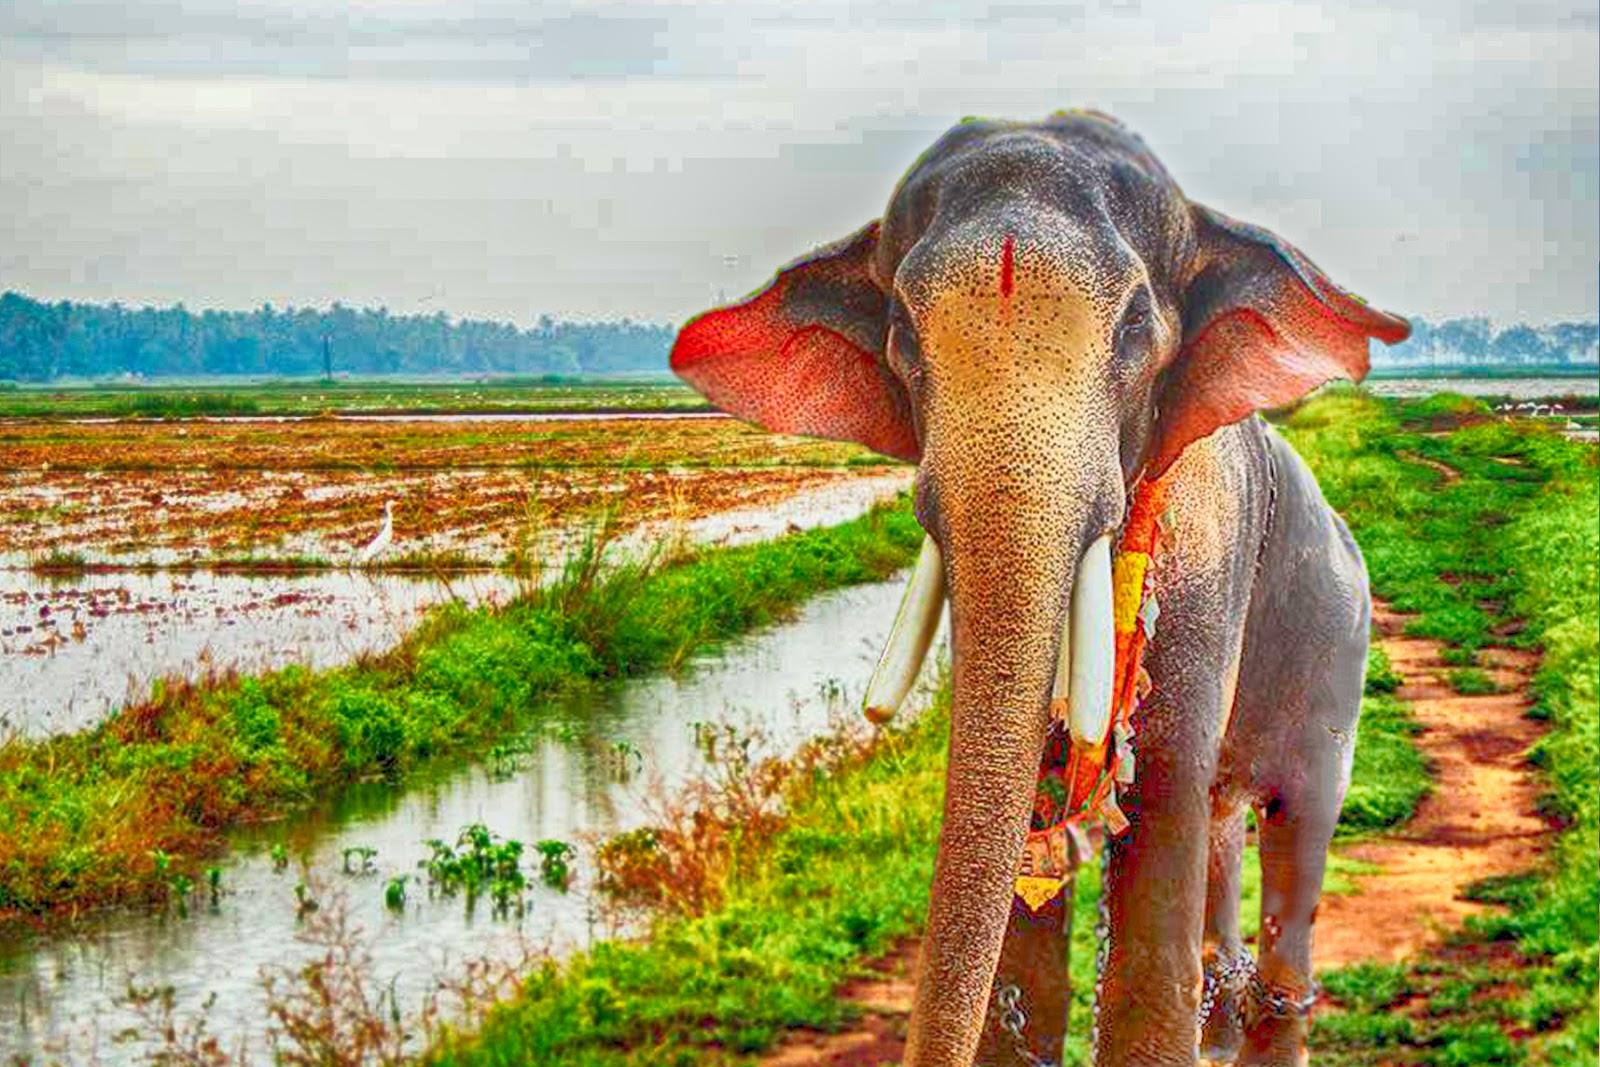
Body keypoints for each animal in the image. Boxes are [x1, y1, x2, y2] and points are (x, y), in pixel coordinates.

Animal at [668, 112, 1410, 1066]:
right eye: (902, 330)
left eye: (1135, 324)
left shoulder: (1207, 563)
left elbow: (1161, 807)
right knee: (1223, 820)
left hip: (1338, 639)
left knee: (1298, 818)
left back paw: (1277, 1000)